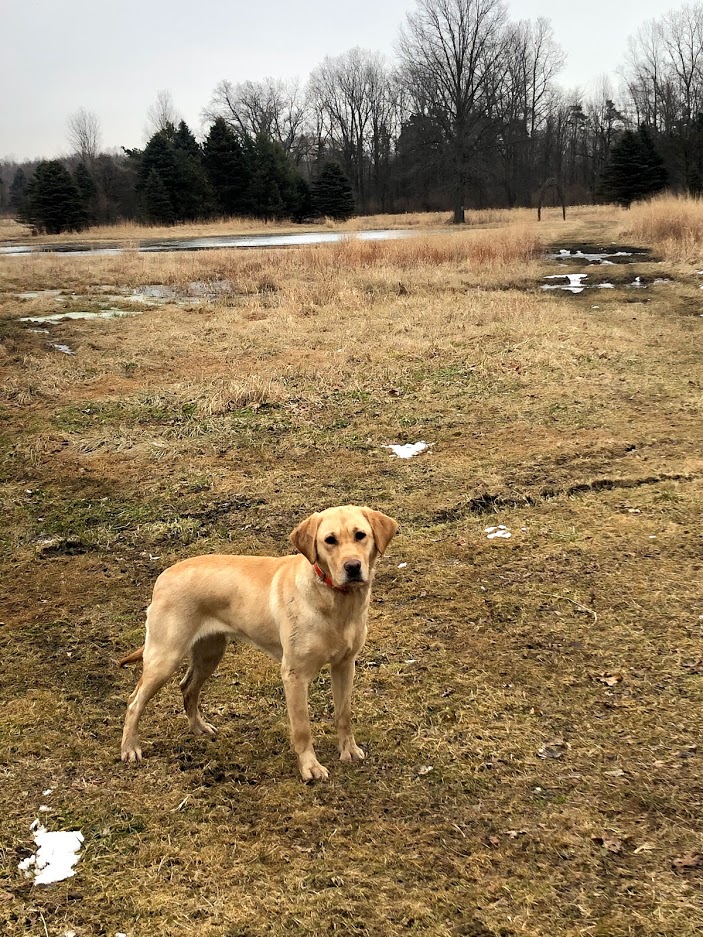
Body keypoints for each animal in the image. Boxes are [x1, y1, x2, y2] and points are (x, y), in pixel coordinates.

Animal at [118, 508, 398, 780]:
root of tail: (163, 576)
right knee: (134, 701)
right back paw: (130, 748)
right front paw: (310, 768)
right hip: (166, 657)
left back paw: (199, 727)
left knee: (187, 687)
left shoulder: (344, 665)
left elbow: (343, 715)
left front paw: (349, 751)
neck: (335, 599)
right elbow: (302, 728)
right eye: (330, 540)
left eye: (360, 535)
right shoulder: (294, 674)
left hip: (210, 652)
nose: (353, 567)